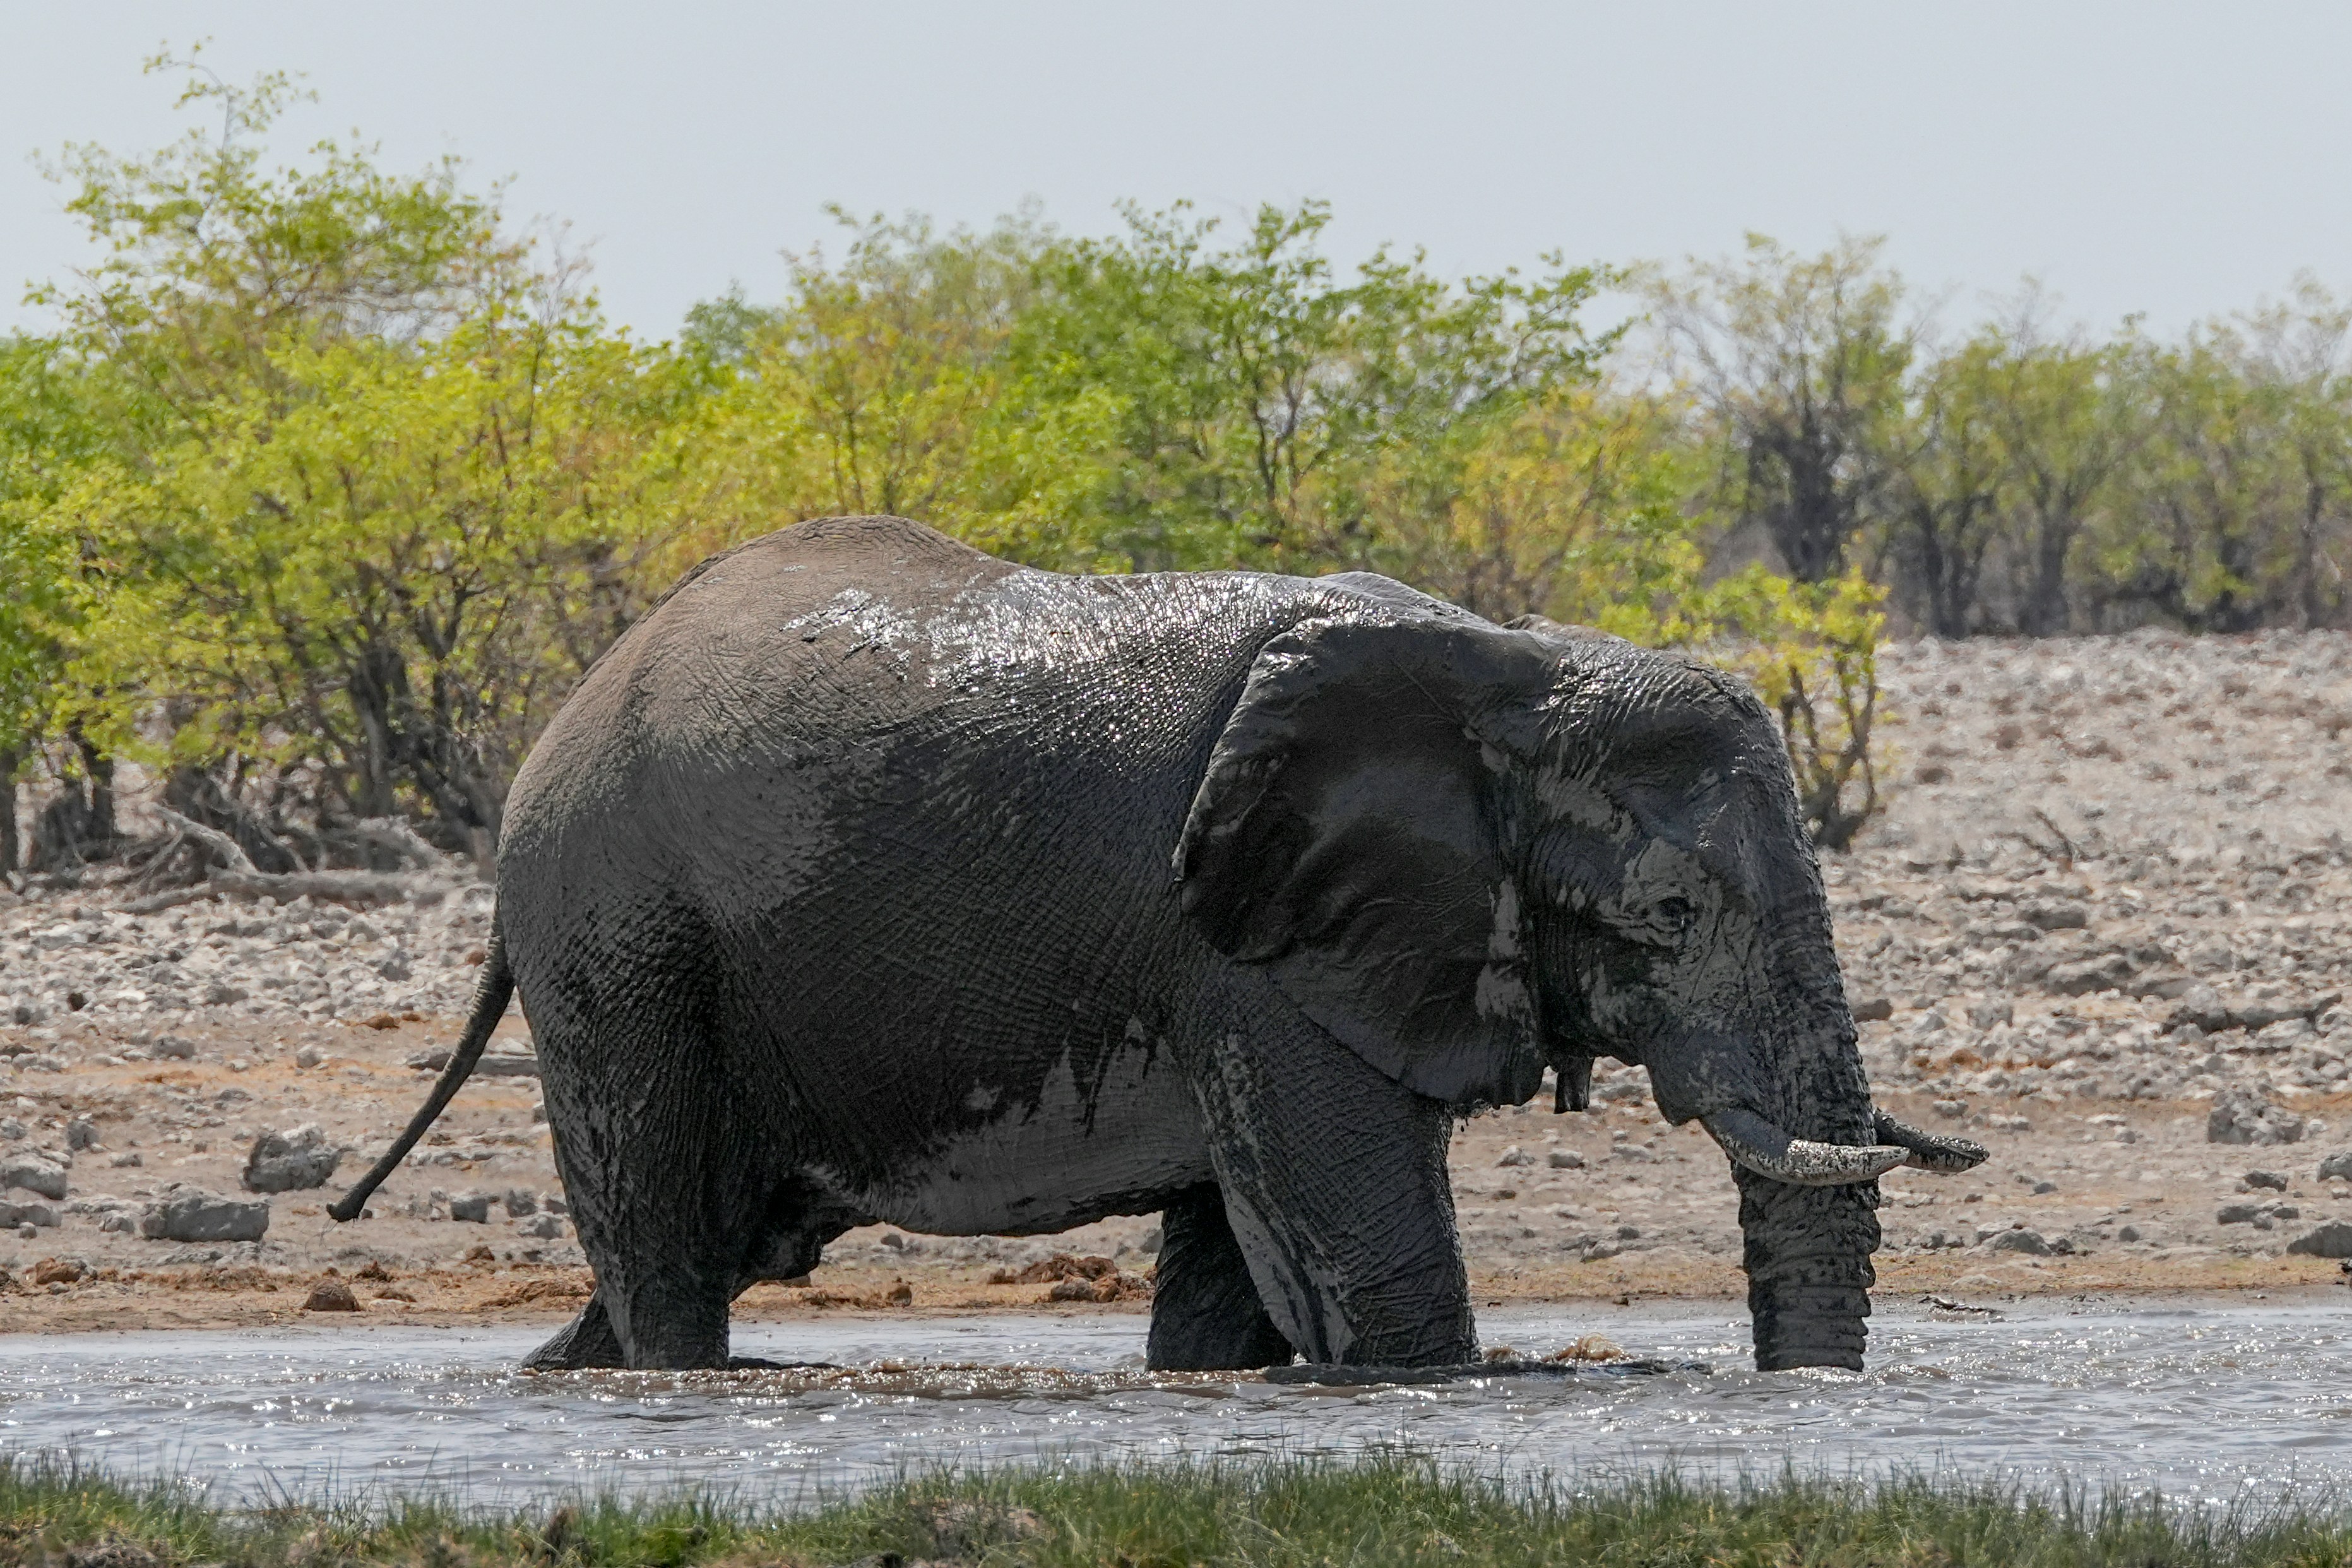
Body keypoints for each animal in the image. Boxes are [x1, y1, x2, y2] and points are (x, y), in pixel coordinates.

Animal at [333, 514, 1985, 1373]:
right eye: (1669, 916)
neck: (1515, 668)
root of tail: (557, 728)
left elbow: (1234, 1289)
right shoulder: (1252, 951)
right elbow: (1370, 1266)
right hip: (623, 936)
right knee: (671, 1247)